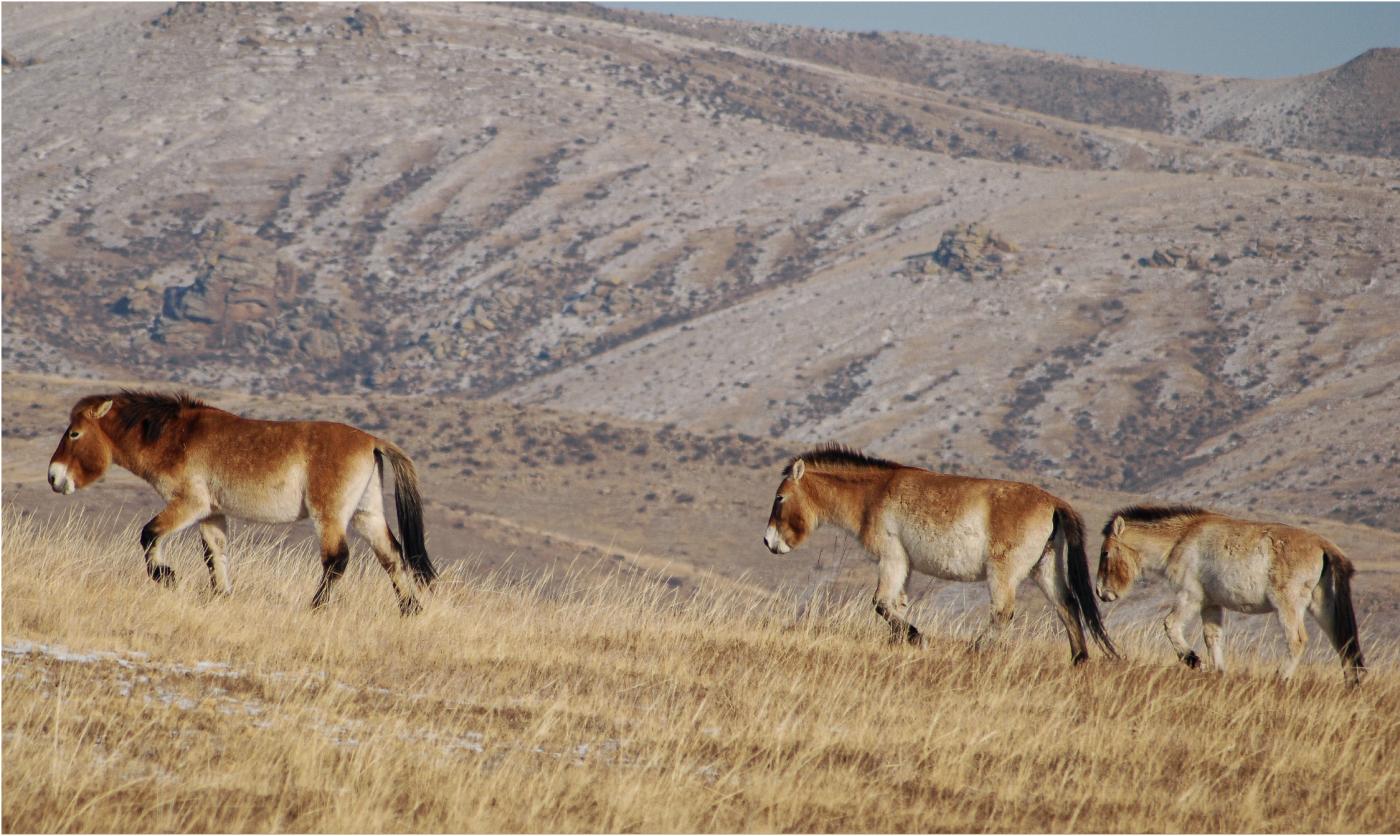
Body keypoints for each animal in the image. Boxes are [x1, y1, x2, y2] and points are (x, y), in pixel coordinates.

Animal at [49, 392, 434, 613]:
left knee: (337, 560)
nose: (54, 477)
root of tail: (371, 440)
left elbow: (149, 534)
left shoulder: (189, 504)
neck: (175, 436)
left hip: (330, 516)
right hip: (366, 514)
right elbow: (214, 555)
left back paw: (315, 607)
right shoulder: (211, 513)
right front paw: (221, 596)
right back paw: (410, 609)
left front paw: (166, 575)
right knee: (392, 555)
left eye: (75, 433)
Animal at [767, 445, 1114, 660]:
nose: (769, 542)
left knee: (1003, 612)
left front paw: (916, 637)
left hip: (1003, 573)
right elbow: (896, 605)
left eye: (780, 498)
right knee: (1067, 605)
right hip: (1044, 569)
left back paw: (974, 650)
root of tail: (1054, 503)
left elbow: (880, 603)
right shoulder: (904, 565)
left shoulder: (891, 559)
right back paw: (1079, 659)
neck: (874, 494)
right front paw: (901, 643)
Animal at [1092, 504, 1366, 680]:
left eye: (1105, 552)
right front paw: (1217, 672)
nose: (1101, 591)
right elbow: (1212, 637)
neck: (1181, 539)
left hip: (1287, 607)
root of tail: (1324, 546)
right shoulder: (1211, 604)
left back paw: (1280, 678)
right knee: (1343, 643)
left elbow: (1170, 624)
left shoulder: (1190, 597)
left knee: (1297, 641)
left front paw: (1194, 661)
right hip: (1322, 607)